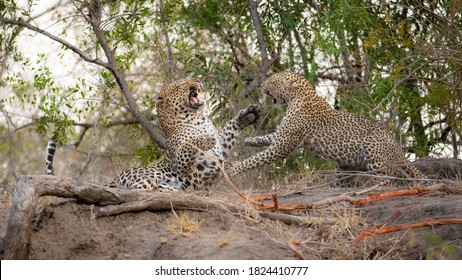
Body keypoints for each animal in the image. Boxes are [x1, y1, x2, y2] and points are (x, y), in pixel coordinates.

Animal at [224, 70, 426, 186]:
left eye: (273, 82)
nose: (262, 86)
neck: (295, 100)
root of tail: (399, 151)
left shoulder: (284, 143)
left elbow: (256, 159)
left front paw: (233, 169)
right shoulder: (282, 136)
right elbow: (267, 138)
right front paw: (250, 140)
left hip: (374, 152)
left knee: (387, 180)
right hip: (345, 166)